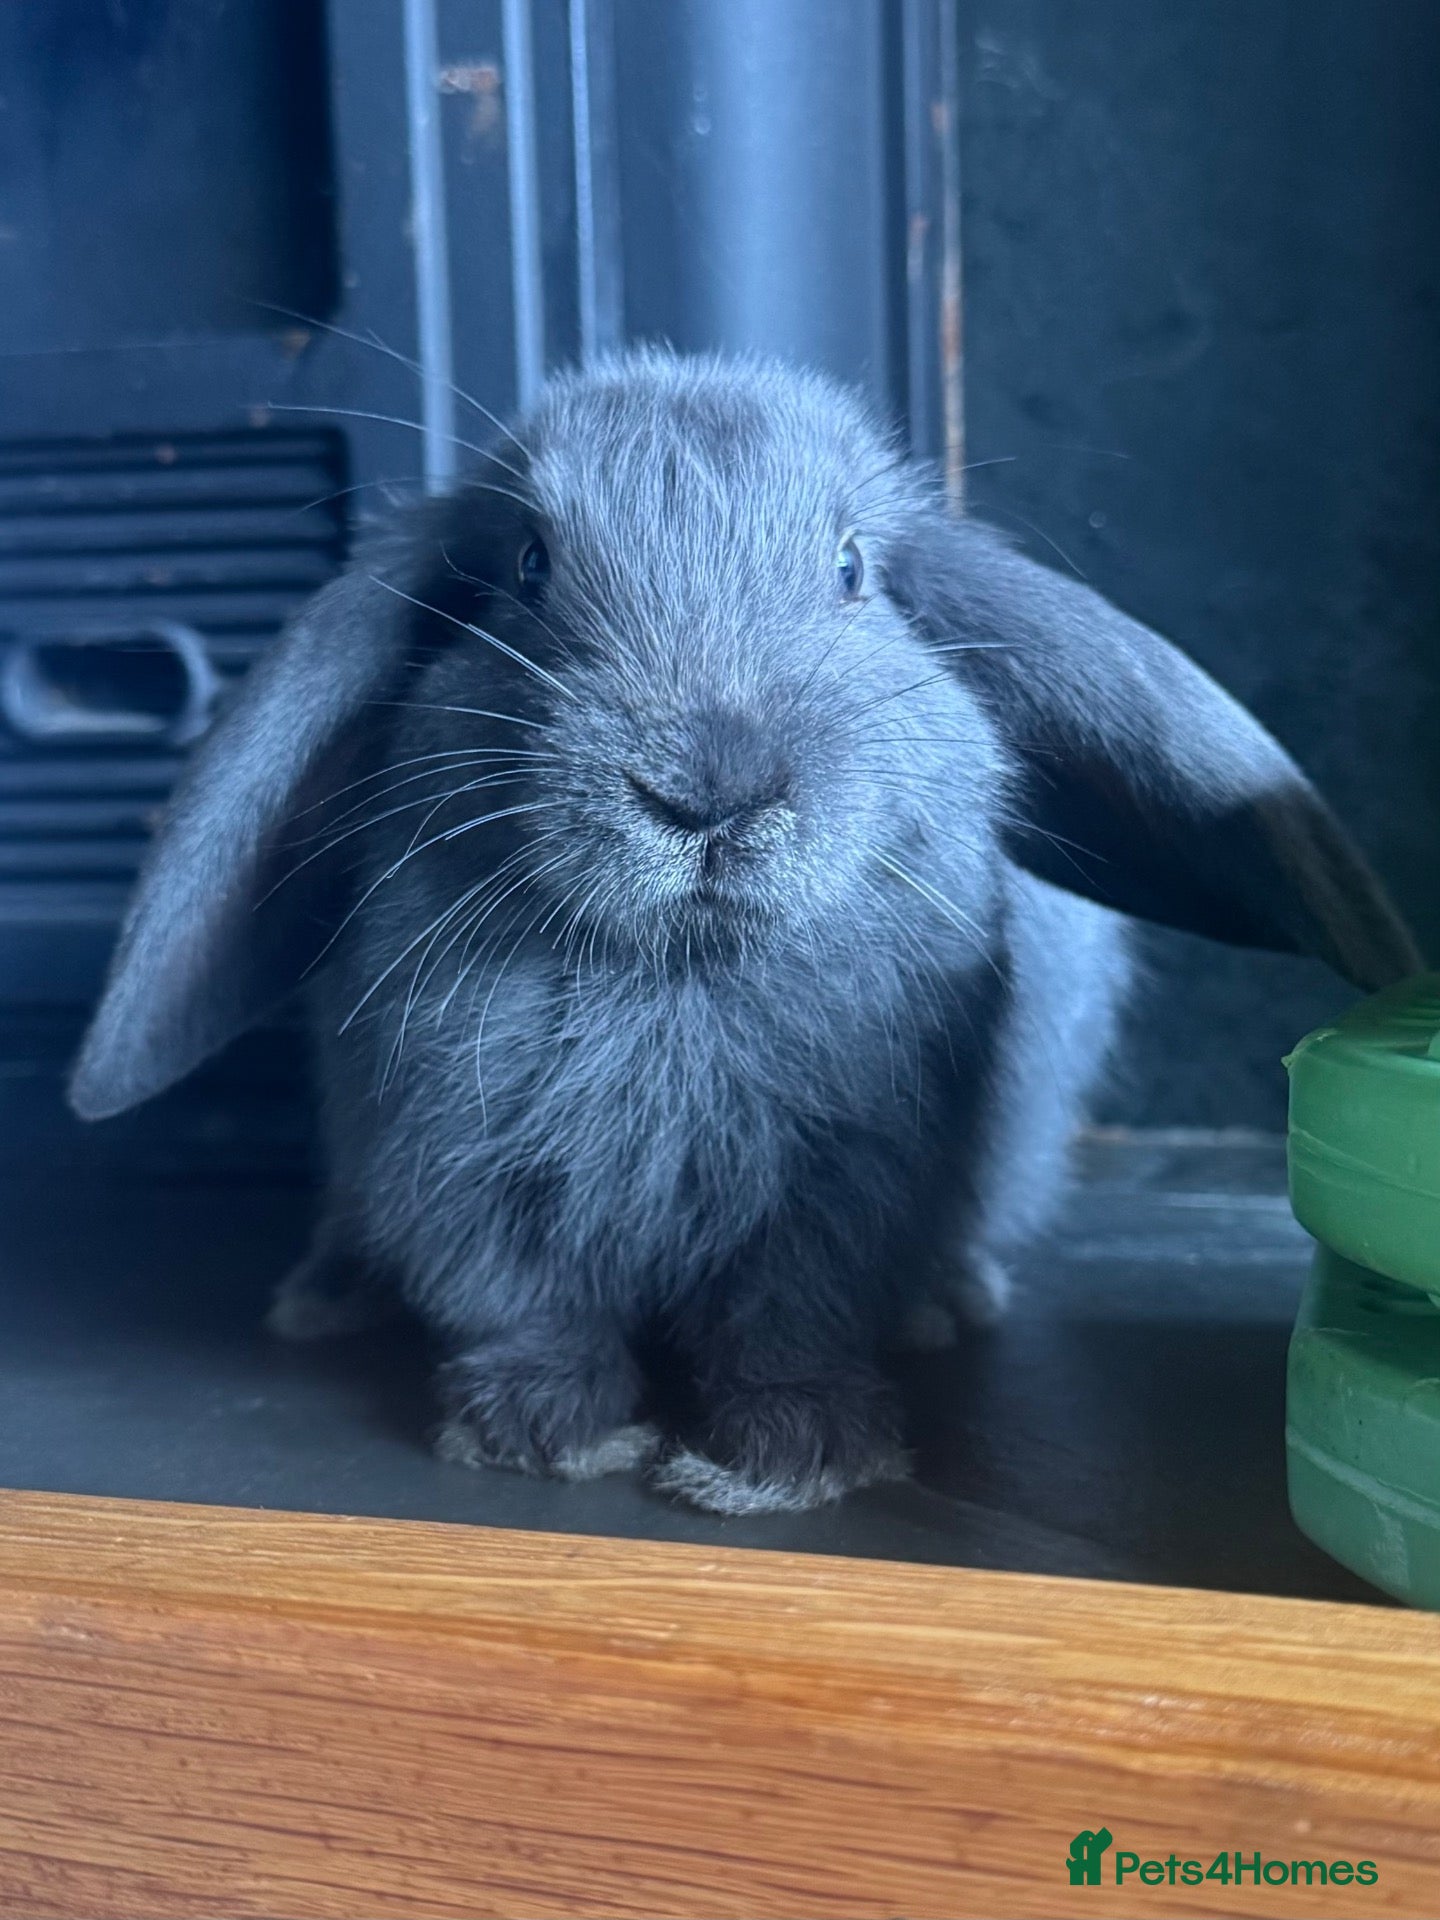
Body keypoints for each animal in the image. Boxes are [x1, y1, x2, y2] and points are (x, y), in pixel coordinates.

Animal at [70, 350, 1420, 1514]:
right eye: (527, 565)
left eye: (852, 569)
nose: (710, 790)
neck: (678, 970)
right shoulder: (456, 1160)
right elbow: (520, 1304)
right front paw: (552, 1433)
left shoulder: (851, 1186)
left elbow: (790, 1323)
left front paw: (788, 1459)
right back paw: (325, 1296)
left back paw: (951, 1302)